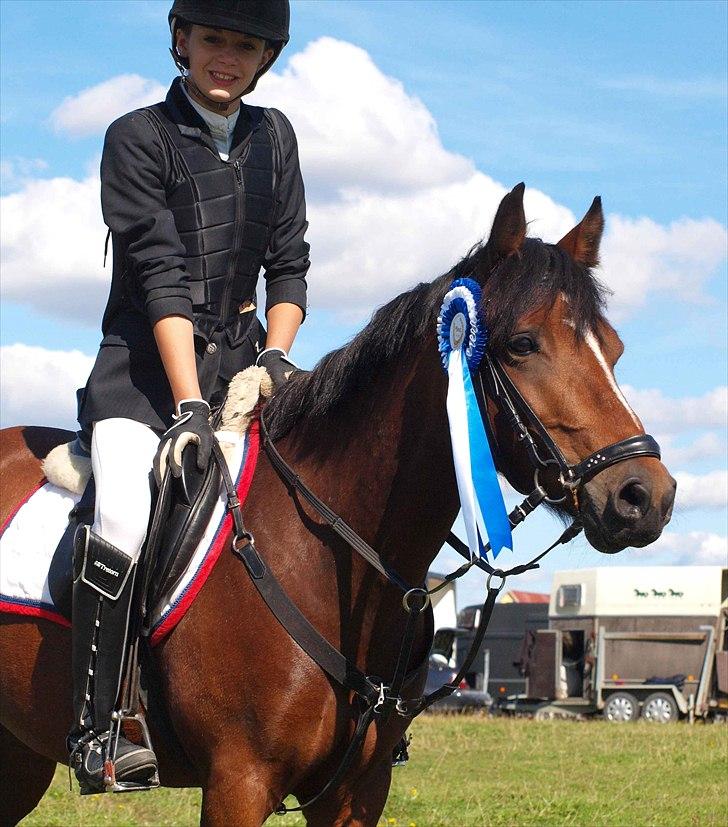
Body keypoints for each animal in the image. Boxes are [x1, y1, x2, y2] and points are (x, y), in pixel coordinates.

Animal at [0, 184, 676, 824]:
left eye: (612, 348)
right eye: (522, 344)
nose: (646, 496)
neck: (323, 551)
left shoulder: (357, 792)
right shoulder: (238, 784)